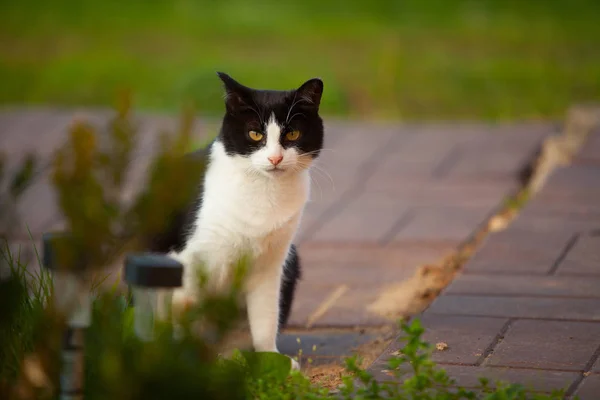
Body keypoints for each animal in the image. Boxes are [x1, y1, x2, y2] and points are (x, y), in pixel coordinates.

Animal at [145, 72, 324, 368]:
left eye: (292, 133)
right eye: (255, 133)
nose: (275, 158)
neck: (263, 190)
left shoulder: (271, 265)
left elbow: (265, 317)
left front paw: (270, 359)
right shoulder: (190, 261)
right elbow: (186, 312)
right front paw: (184, 361)